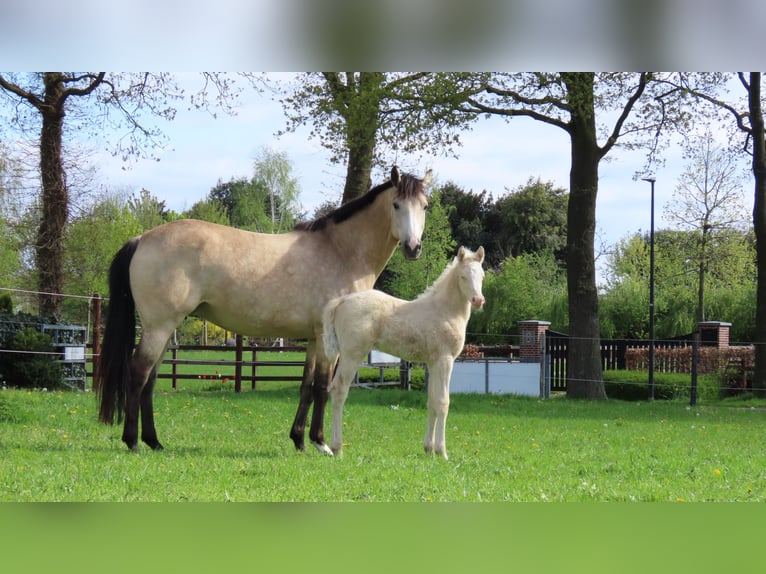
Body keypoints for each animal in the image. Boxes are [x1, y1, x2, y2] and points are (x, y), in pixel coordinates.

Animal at [96, 166, 431, 454]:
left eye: (425, 207)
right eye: (396, 205)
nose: (413, 248)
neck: (341, 251)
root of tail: (142, 238)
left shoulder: (313, 338)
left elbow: (307, 386)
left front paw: (299, 440)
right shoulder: (328, 340)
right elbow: (323, 387)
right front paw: (321, 442)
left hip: (166, 330)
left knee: (150, 381)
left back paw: (154, 441)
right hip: (159, 326)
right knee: (138, 373)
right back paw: (133, 441)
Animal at [322, 245, 486, 460]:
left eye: (482, 276)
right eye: (463, 276)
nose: (478, 300)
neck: (444, 310)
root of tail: (341, 301)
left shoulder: (433, 363)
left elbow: (432, 402)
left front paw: (428, 449)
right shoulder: (445, 360)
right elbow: (443, 403)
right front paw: (442, 452)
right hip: (352, 355)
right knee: (340, 390)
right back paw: (337, 447)